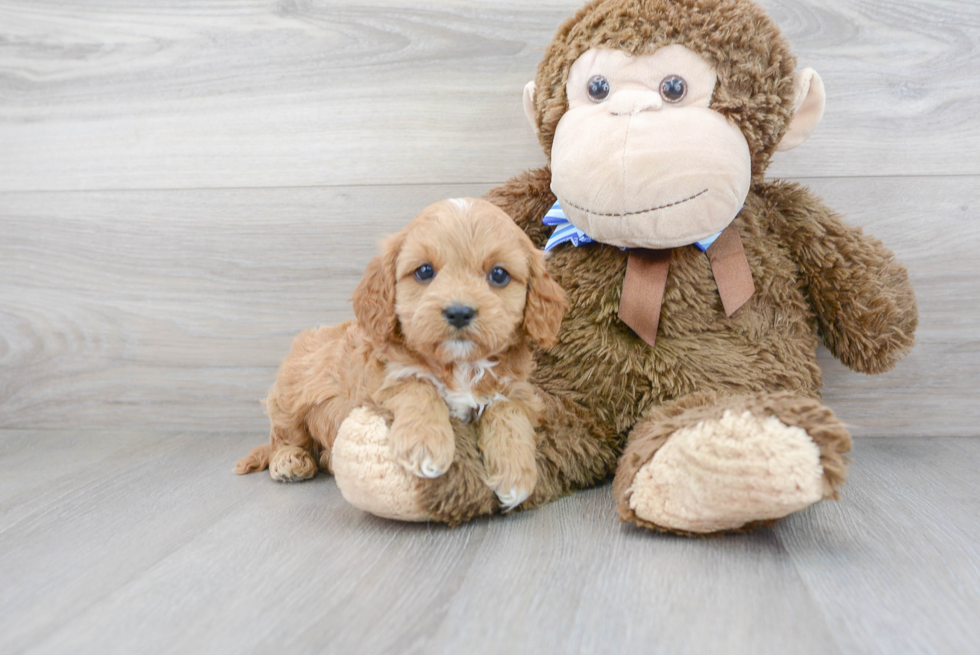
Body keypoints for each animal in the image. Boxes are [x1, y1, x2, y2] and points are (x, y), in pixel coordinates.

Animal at [234, 197, 568, 510]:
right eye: (424, 271)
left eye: (499, 275)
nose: (459, 312)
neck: (459, 365)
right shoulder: (376, 386)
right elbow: (417, 387)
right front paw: (425, 445)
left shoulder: (518, 390)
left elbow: (507, 410)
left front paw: (516, 473)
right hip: (291, 392)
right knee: (283, 436)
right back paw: (289, 460)